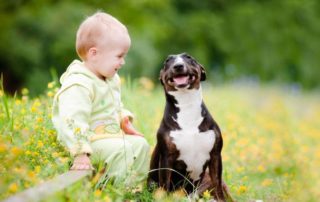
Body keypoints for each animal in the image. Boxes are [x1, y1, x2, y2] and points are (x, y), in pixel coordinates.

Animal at [149, 53, 226, 200]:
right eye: (167, 61)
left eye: (189, 58)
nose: (178, 66)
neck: (187, 105)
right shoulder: (166, 158)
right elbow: (164, 184)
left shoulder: (215, 155)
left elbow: (217, 184)